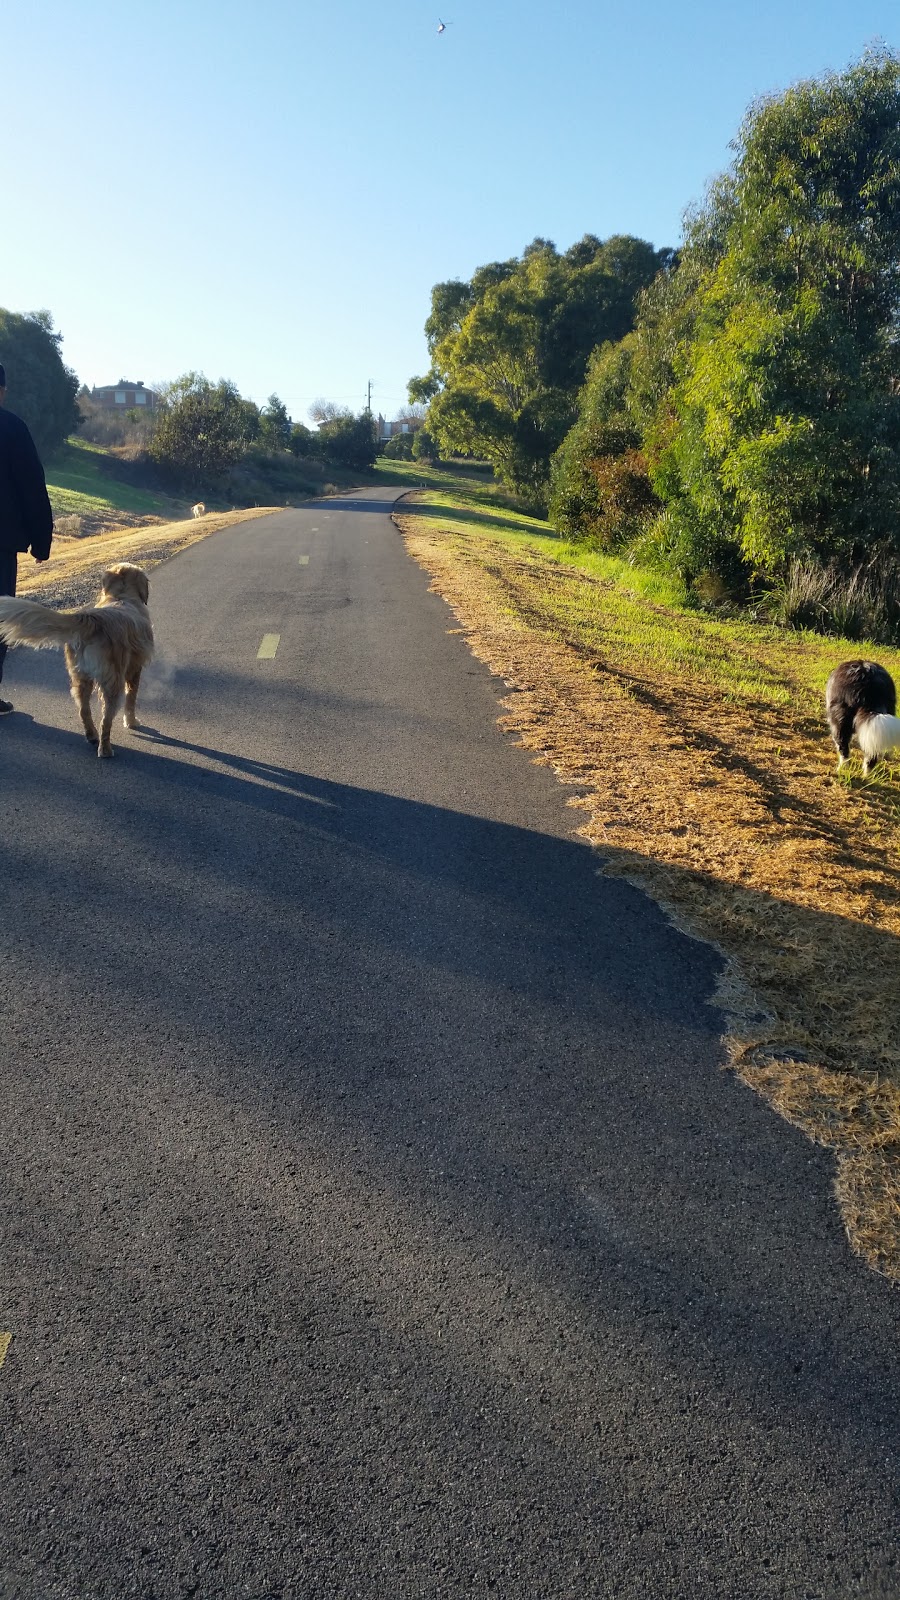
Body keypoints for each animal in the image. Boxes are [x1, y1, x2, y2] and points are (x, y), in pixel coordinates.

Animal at [0, 566, 152, 758]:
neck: (121, 597)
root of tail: (92, 619)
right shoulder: (134, 669)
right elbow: (131, 699)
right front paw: (132, 722)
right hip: (112, 681)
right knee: (105, 719)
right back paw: (105, 750)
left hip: (80, 676)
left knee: (83, 710)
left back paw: (92, 736)